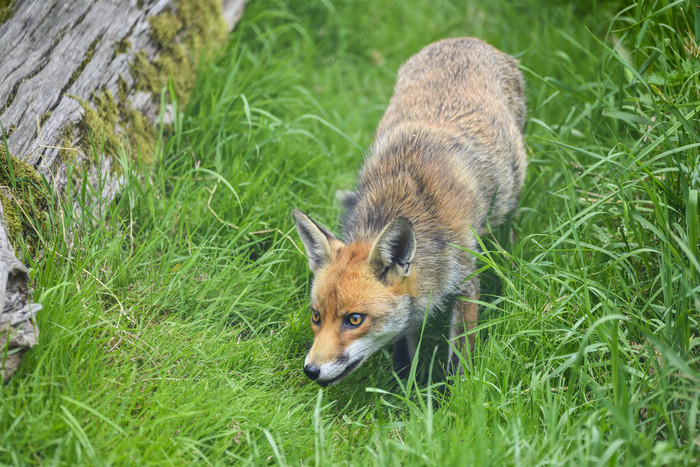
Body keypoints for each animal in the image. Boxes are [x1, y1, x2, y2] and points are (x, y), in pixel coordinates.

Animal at [290, 37, 524, 388]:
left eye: (354, 319)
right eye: (316, 316)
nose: (311, 371)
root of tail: (464, 40)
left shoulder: (466, 282)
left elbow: (459, 359)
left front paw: (454, 397)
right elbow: (403, 355)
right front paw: (405, 393)